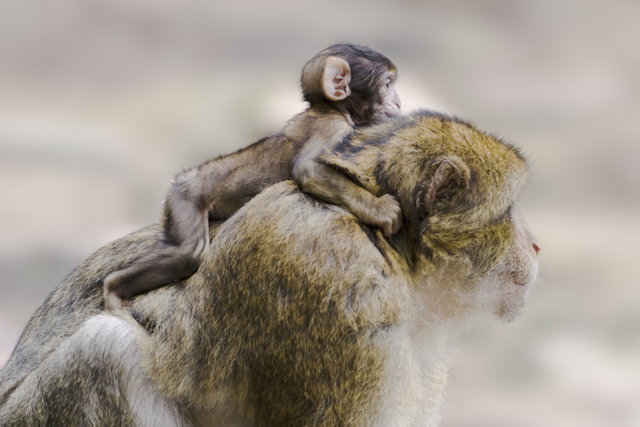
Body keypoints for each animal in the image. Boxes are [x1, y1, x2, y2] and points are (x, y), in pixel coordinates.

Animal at [105, 42, 402, 310]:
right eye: (387, 85)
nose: (399, 102)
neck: (332, 109)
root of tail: (183, 179)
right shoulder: (332, 127)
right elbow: (308, 170)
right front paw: (380, 210)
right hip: (184, 199)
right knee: (186, 252)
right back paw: (113, 289)